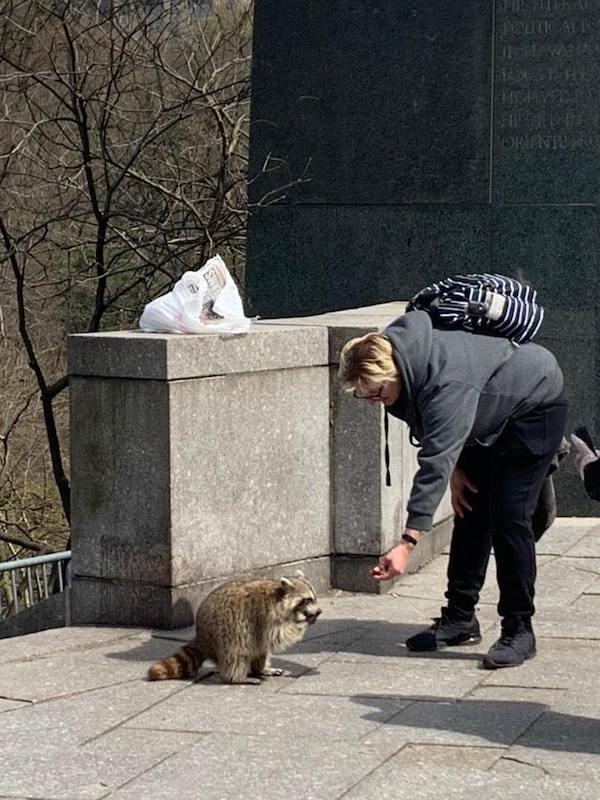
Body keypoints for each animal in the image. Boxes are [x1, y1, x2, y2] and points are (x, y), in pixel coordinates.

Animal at [148, 572, 321, 685]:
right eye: (307, 600)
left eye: (314, 598)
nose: (319, 612)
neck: (279, 595)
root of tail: (202, 637)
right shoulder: (266, 617)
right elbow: (280, 633)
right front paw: (303, 621)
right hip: (228, 629)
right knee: (236, 653)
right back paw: (238, 678)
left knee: (260, 649)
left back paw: (260, 668)